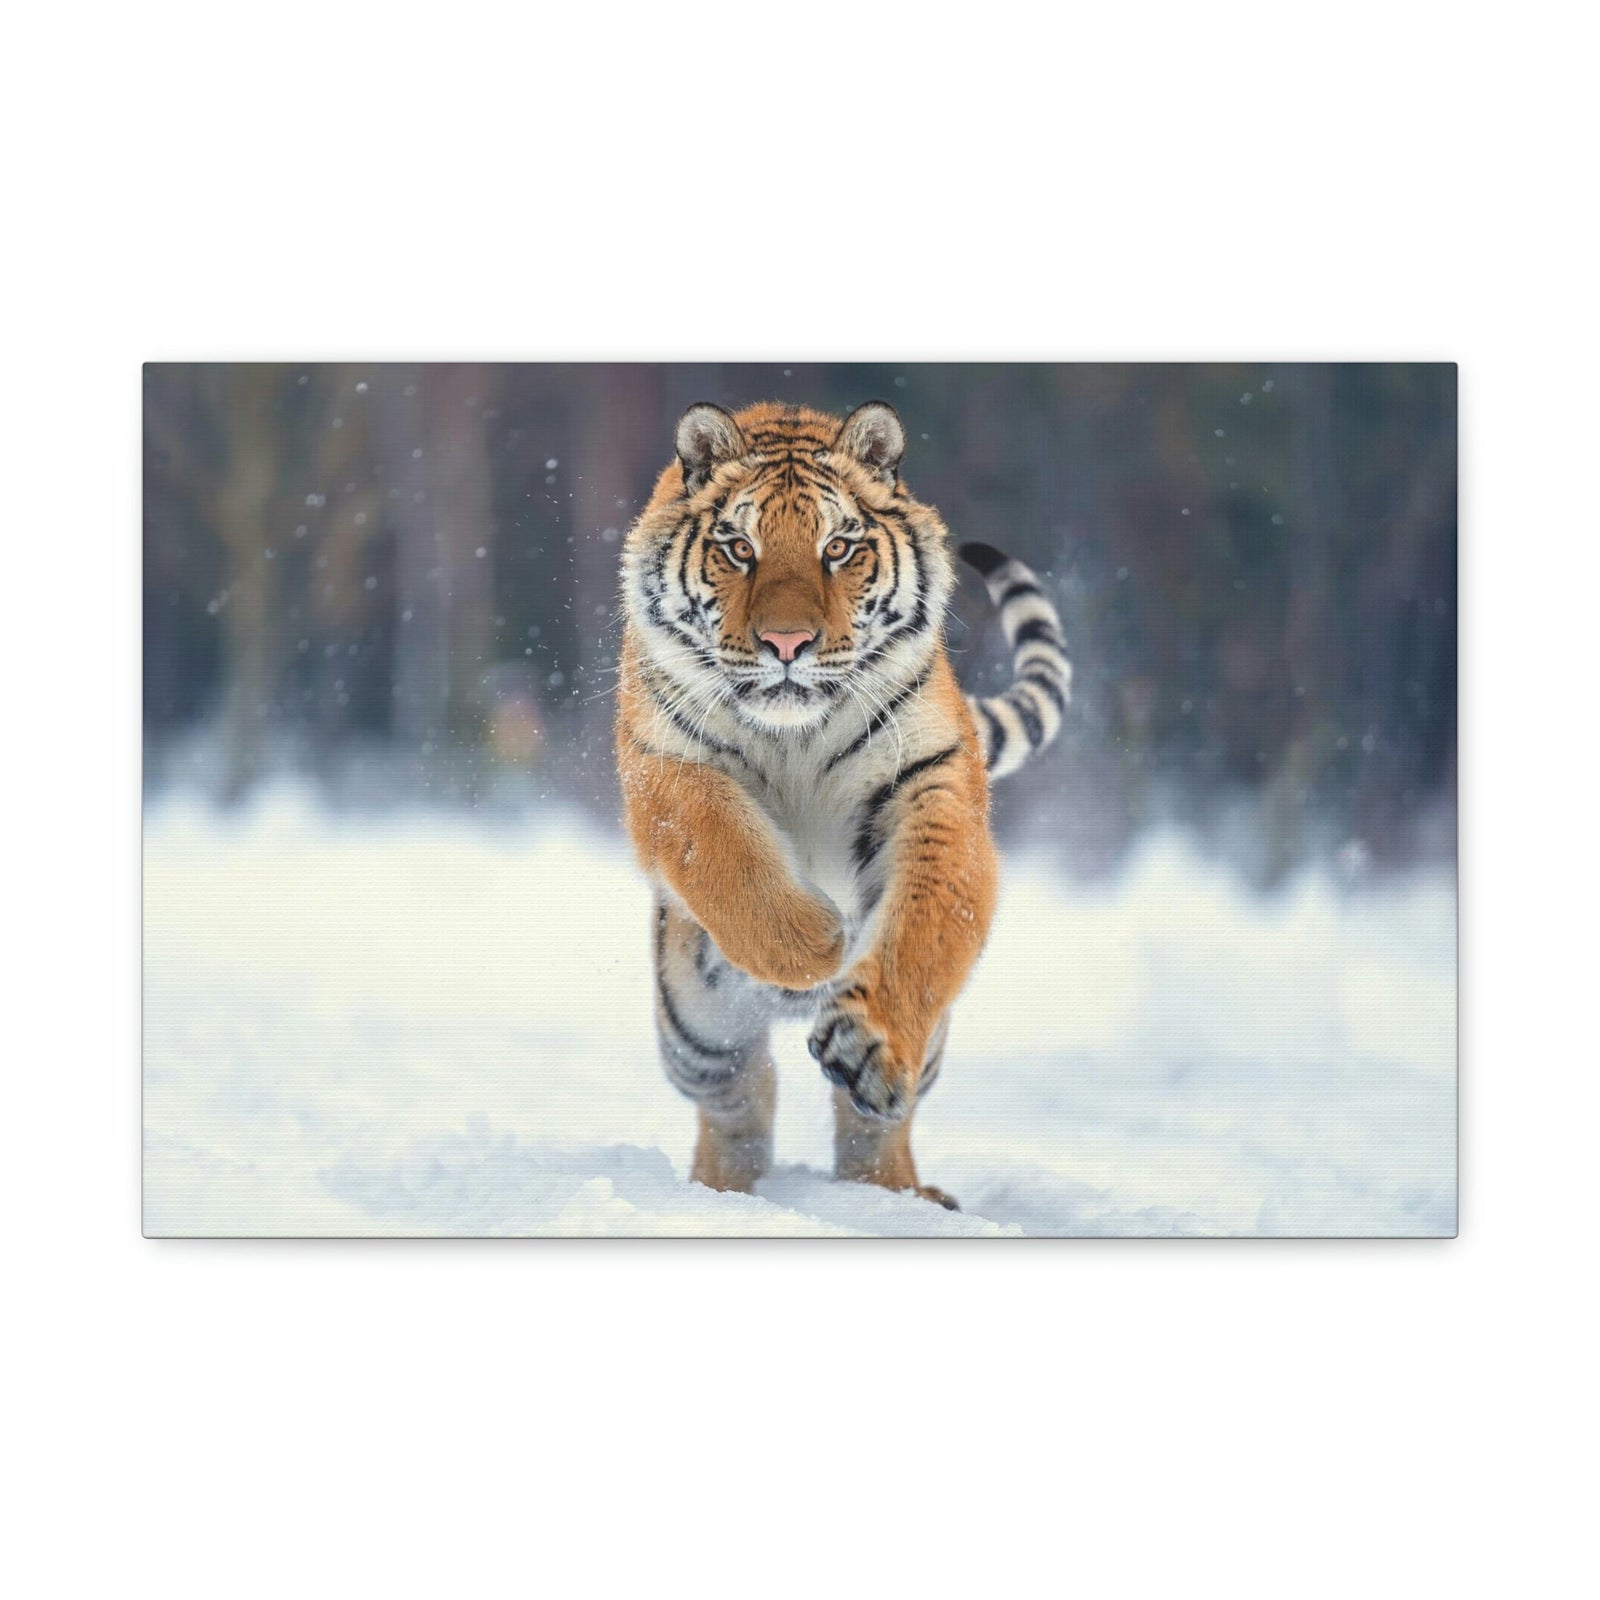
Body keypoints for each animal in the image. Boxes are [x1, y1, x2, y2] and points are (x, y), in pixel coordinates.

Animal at [615, 399, 1070, 1211]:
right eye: (739, 547)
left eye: (838, 547)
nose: (787, 643)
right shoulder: (665, 765)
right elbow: (724, 852)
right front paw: (815, 941)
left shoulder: (931, 783)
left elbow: (926, 924)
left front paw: (868, 1040)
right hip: (695, 1030)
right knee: (741, 1095)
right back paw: (722, 1193)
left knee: (871, 1123)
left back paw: (896, 1195)